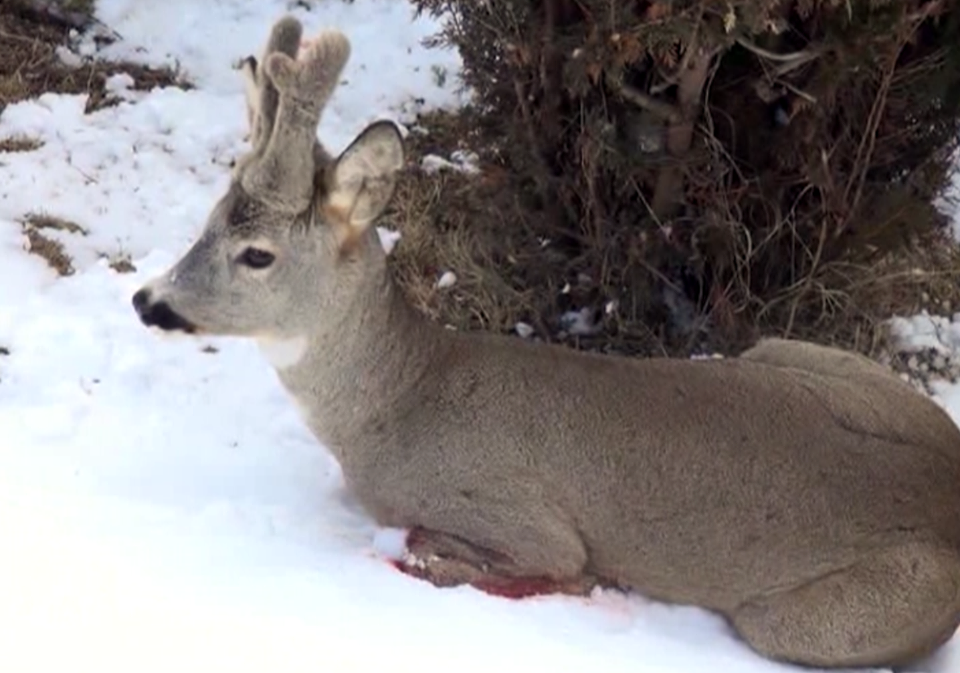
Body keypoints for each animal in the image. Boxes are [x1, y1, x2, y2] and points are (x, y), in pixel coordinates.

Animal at [131, 15, 960, 668]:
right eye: (208, 221)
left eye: (257, 254)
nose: (148, 300)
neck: (395, 403)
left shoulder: (525, 521)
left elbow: (517, 564)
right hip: (786, 351)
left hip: (813, 616)